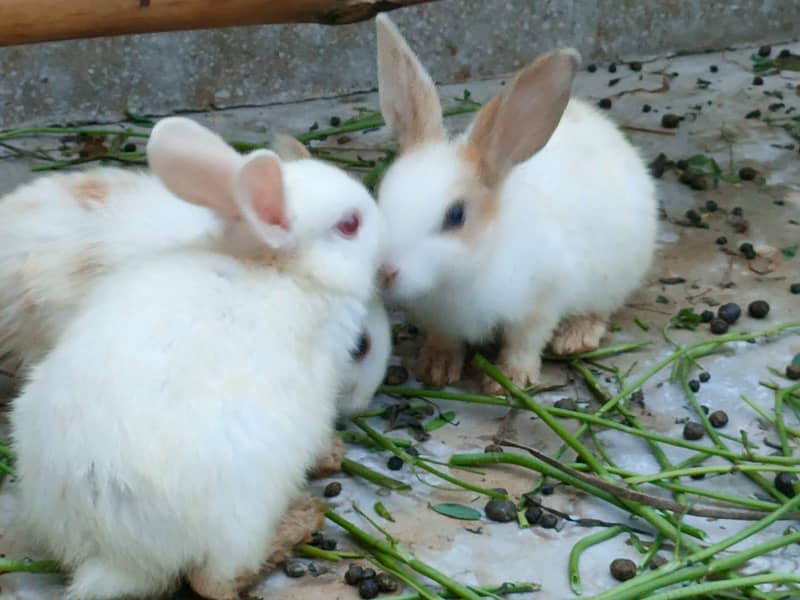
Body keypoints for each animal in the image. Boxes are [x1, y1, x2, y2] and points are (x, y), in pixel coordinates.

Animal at [373, 14, 657, 393]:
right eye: (380, 195)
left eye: (456, 215)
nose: (383, 273)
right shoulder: (439, 320)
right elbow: (445, 341)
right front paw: (435, 370)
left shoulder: (540, 302)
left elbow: (524, 342)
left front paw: (510, 379)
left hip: (615, 276)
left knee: (599, 310)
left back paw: (575, 339)